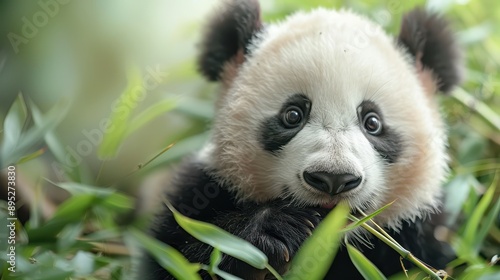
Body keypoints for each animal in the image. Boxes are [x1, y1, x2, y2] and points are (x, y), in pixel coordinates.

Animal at [140, 1, 460, 278]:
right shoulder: (201, 190)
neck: (331, 241)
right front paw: (271, 231)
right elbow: (178, 255)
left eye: (372, 122)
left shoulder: (423, 229)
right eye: (293, 115)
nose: (333, 178)